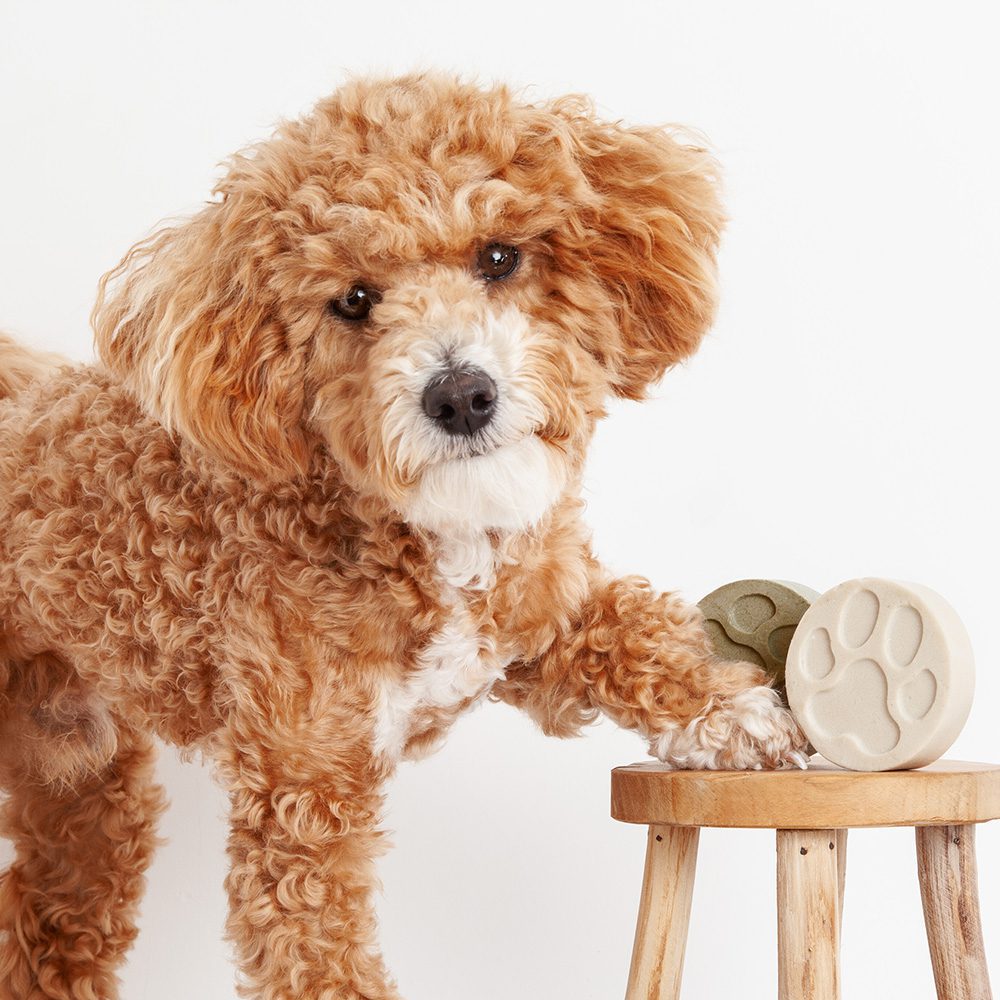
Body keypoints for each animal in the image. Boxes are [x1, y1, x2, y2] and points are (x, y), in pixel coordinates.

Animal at [0, 74, 808, 996]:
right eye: (354, 300)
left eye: (499, 257)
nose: (460, 395)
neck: (429, 541)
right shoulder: (302, 801)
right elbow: (320, 958)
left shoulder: (533, 611)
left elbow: (630, 622)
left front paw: (729, 711)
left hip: (85, 793)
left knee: (44, 922)